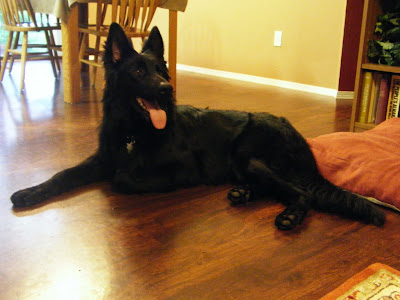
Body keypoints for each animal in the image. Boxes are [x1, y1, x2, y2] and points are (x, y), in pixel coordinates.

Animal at [10, 22, 386, 230]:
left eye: (161, 71)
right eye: (138, 72)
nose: (166, 89)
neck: (134, 130)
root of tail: (299, 137)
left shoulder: (180, 172)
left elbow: (123, 178)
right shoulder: (103, 157)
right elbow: (63, 175)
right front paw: (30, 192)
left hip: (249, 157)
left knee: (301, 192)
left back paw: (289, 216)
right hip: (246, 165)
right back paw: (244, 193)